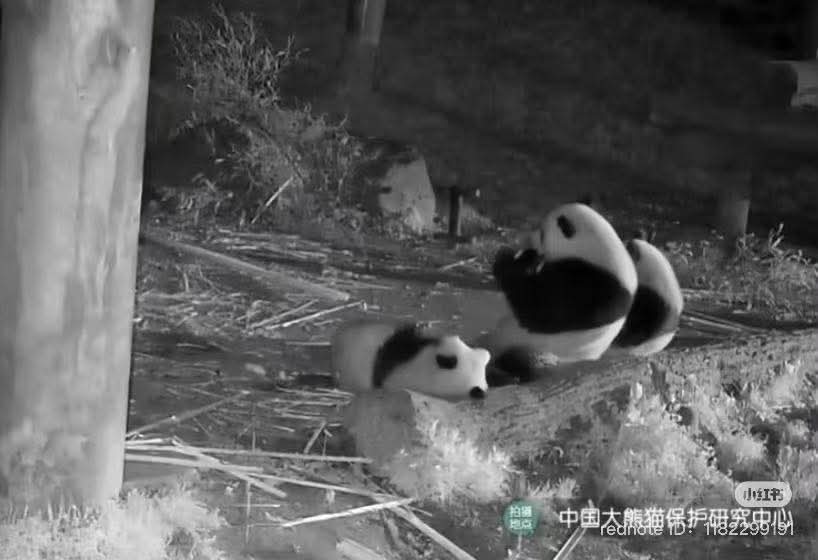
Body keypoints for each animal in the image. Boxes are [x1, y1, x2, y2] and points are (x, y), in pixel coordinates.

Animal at [477, 202, 638, 383]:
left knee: (526, 362)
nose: (529, 240)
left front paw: (508, 259)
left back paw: (505, 374)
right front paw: (526, 257)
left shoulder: (595, 287)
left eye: (541, 233)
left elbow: (540, 309)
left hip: (547, 353)